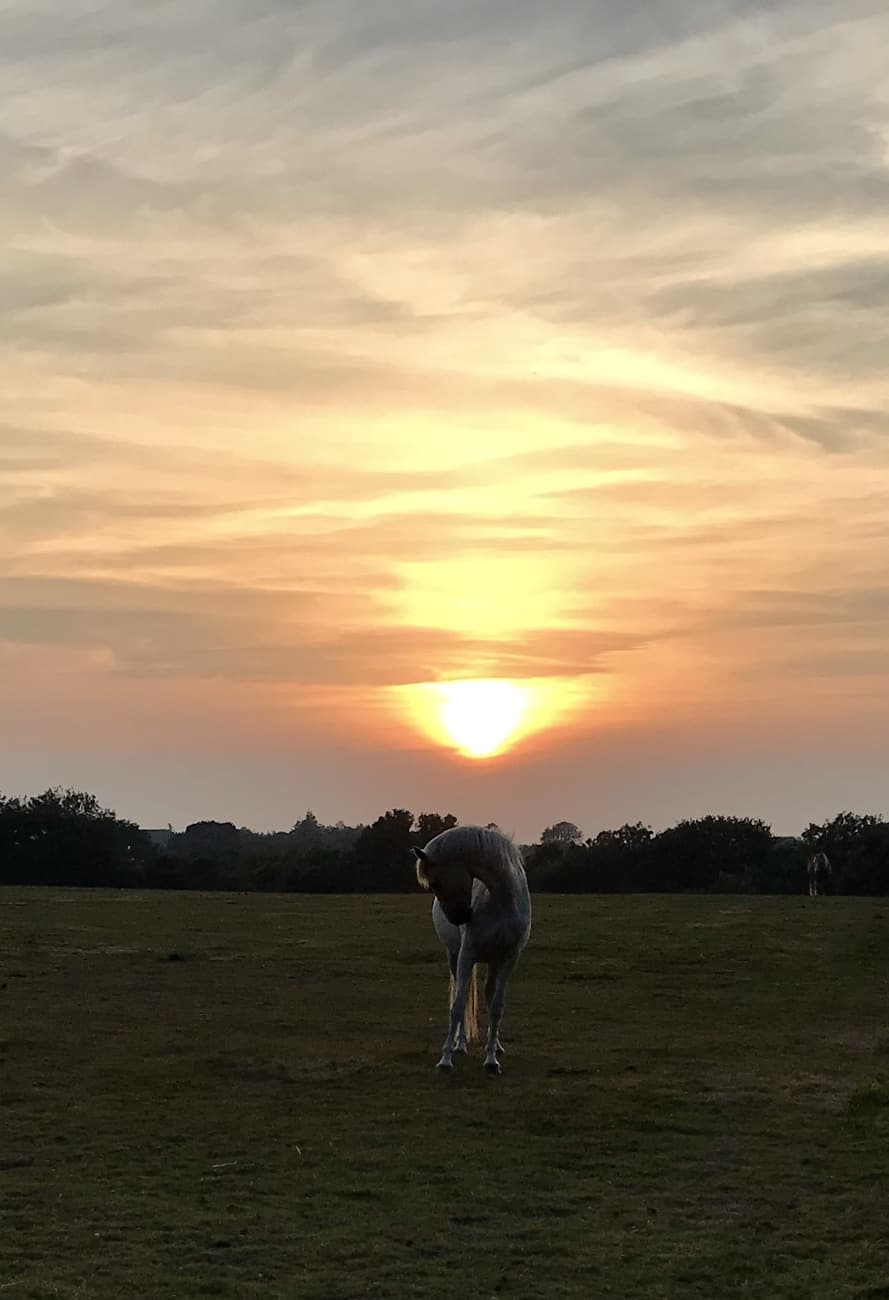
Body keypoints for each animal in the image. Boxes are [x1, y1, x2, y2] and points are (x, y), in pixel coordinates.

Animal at [413, 825, 531, 1076]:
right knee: (465, 993)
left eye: (435, 883)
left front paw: (491, 1061)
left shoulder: (509, 958)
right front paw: (445, 1059)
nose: (459, 918)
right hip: (456, 956)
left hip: (493, 962)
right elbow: (458, 1006)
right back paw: (460, 1045)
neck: (502, 901)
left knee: (489, 995)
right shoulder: (466, 955)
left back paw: (495, 1046)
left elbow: (496, 1006)